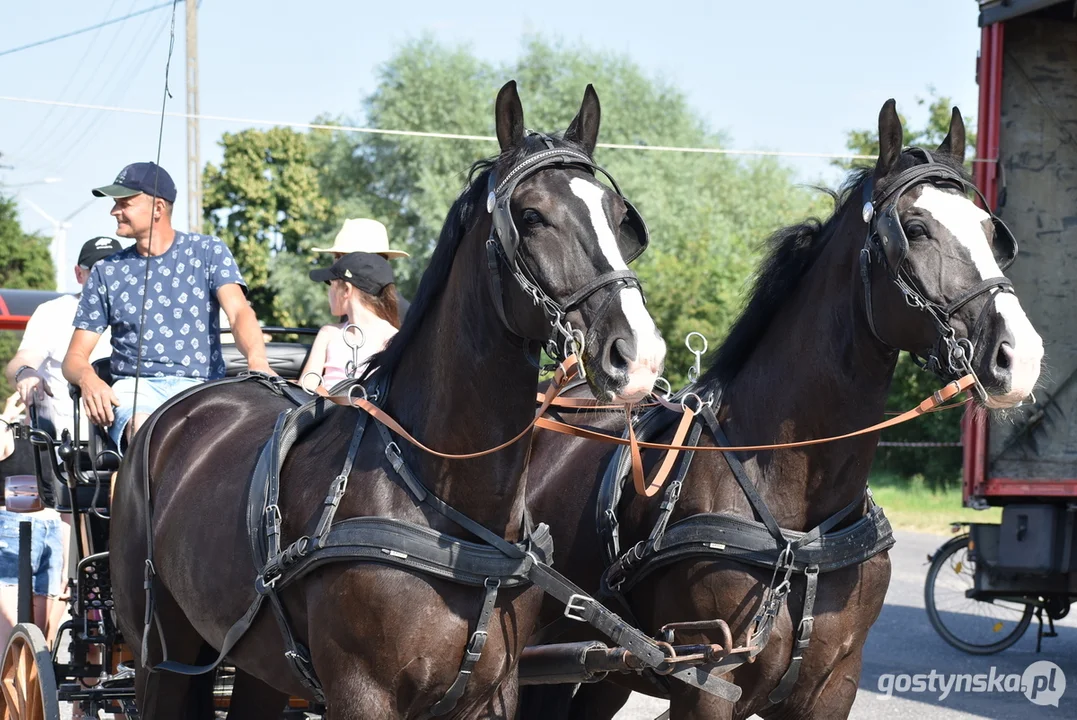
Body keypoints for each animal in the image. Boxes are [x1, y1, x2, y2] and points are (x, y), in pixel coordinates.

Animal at [111, 81, 663, 714]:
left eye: (621, 220)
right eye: (530, 216)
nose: (638, 354)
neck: (446, 505)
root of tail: (171, 417)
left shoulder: (494, 694)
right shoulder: (362, 694)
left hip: (260, 663)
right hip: (159, 656)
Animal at [521, 102, 1042, 718]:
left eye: (989, 231)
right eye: (915, 229)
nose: (1021, 355)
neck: (796, 521)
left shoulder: (834, 687)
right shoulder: (704, 684)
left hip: (605, 673)